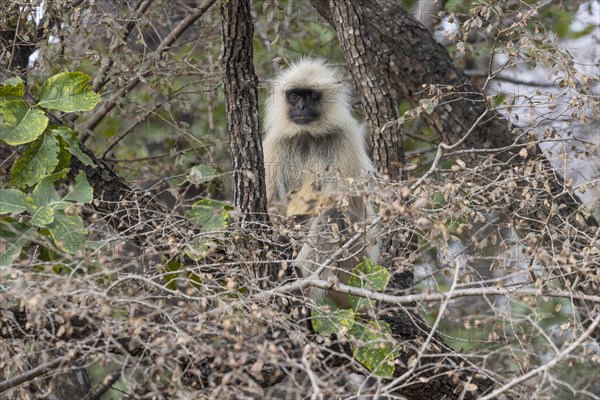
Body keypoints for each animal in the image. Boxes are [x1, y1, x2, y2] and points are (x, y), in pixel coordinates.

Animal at [264, 57, 380, 308]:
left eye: (311, 95)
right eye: (294, 96)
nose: (301, 107)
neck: (308, 136)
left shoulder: (345, 140)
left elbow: (350, 208)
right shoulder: (274, 145)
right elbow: (270, 208)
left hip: (355, 264)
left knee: (334, 215)